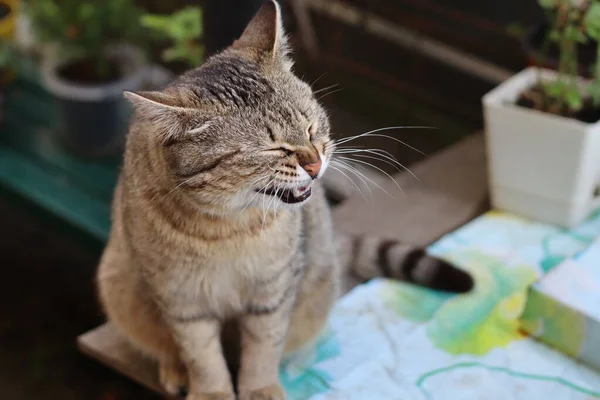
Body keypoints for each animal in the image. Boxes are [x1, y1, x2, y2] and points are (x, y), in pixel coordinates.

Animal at [97, 1, 474, 398]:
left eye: (310, 127)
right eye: (272, 148)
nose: (315, 162)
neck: (227, 228)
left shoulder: (274, 290)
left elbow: (264, 347)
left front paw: (260, 387)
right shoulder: (181, 300)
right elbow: (202, 357)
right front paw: (211, 390)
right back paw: (174, 369)